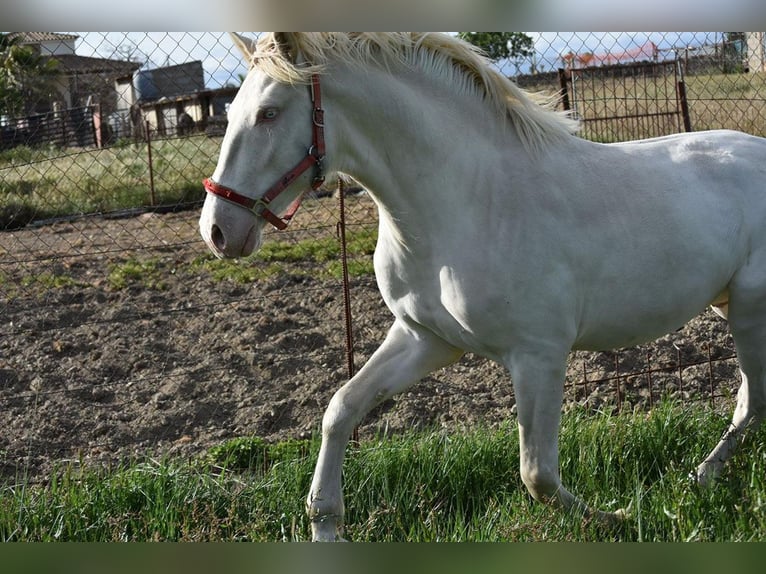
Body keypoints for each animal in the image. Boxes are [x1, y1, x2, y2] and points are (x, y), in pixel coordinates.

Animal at [202, 33, 766, 544]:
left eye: (269, 113)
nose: (218, 230)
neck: (466, 204)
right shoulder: (425, 339)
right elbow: (340, 408)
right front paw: (325, 526)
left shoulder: (538, 355)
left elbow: (537, 474)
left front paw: (617, 517)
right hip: (725, 306)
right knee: (748, 397)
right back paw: (701, 477)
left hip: (749, 311)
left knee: (752, 400)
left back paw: (701, 478)